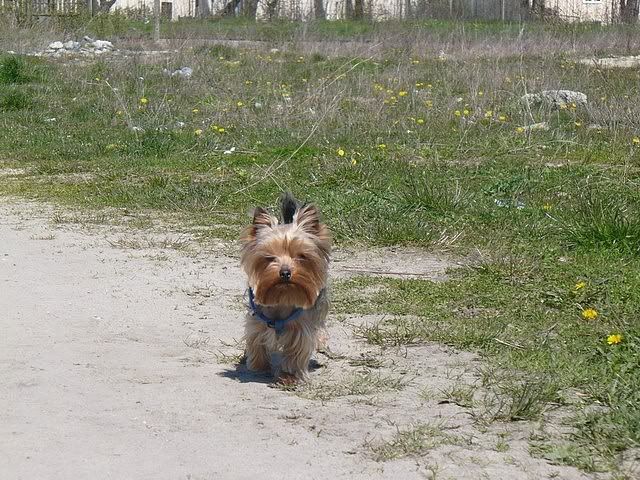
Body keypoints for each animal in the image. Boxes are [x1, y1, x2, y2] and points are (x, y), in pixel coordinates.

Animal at [240, 193, 331, 383]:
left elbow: (297, 351)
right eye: (269, 257)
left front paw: (289, 376)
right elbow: (255, 339)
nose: (285, 272)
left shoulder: (301, 327)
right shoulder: (257, 318)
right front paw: (258, 365)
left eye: (301, 256)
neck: (282, 296)